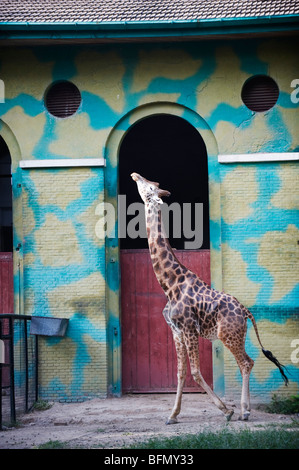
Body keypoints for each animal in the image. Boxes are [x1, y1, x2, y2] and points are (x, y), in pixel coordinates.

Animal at [131, 172, 288, 422]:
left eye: (150, 186)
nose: (135, 174)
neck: (169, 284)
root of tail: (246, 312)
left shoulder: (189, 328)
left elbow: (195, 372)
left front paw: (226, 410)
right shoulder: (175, 330)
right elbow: (181, 372)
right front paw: (172, 415)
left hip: (228, 334)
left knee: (247, 362)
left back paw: (244, 411)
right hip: (234, 334)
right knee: (246, 362)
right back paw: (243, 409)